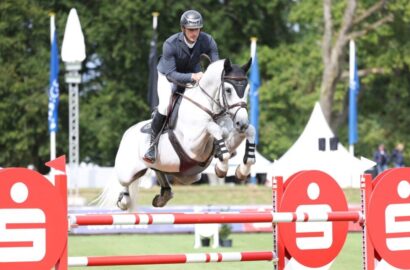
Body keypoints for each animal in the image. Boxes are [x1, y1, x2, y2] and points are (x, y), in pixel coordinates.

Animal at [97, 59, 255, 211]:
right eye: (228, 90)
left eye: (248, 89)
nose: (241, 123)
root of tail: (127, 133)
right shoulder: (192, 145)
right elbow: (215, 129)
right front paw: (221, 168)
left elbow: (248, 131)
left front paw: (242, 170)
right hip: (127, 171)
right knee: (124, 184)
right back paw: (124, 200)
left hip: (188, 175)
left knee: (158, 171)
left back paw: (162, 197)